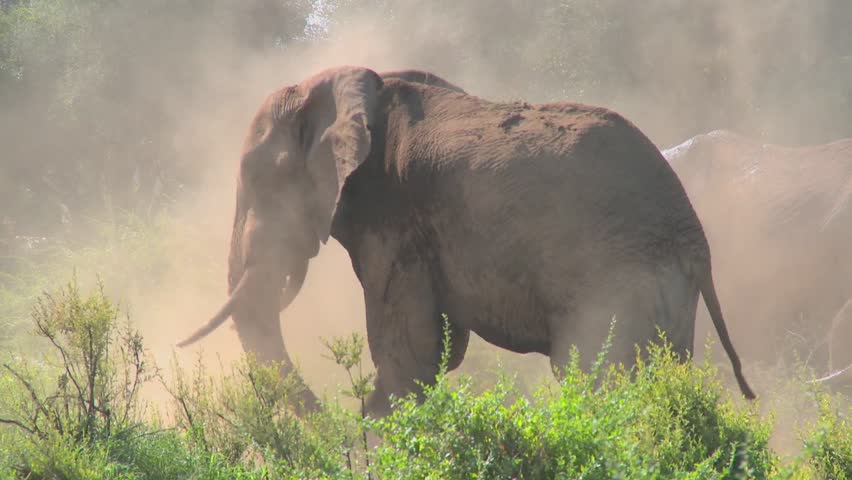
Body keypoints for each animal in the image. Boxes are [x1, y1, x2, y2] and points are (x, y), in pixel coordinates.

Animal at [178, 66, 755, 417]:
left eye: (261, 176)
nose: (332, 418)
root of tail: (697, 243)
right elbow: (436, 350)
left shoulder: (394, 220)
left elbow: (408, 354)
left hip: (619, 281)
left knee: (595, 378)